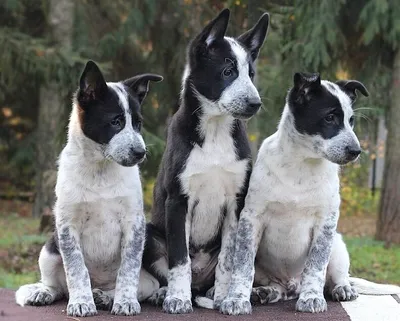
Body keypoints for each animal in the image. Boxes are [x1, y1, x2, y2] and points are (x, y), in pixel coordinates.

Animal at [15, 60, 162, 316]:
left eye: (138, 124)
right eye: (115, 122)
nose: (140, 153)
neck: (100, 169)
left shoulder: (134, 223)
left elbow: (128, 269)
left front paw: (124, 302)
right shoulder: (67, 226)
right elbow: (76, 269)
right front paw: (82, 302)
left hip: (149, 248)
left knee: (147, 285)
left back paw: (109, 297)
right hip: (49, 249)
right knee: (57, 286)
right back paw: (44, 292)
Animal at [140, 8, 268, 314]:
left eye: (251, 74)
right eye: (227, 72)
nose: (255, 103)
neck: (215, 131)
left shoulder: (236, 202)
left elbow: (228, 261)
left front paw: (224, 298)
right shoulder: (178, 200)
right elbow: (179, 260)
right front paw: (177, 299)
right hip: (150, 233)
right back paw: (165, 294)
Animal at [219, 72, 400, 312]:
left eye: (351, 120)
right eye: (330, 118)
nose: (356, 151)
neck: (302, 165)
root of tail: (291, 283)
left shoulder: (326, 223)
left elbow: (316, 266)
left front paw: (312, 297)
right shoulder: (251, 219)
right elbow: (243, 265)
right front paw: (237, 299)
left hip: (338, 246)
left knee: (337, 276)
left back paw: (342, 288)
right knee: (281, 290)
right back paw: (265, 292)